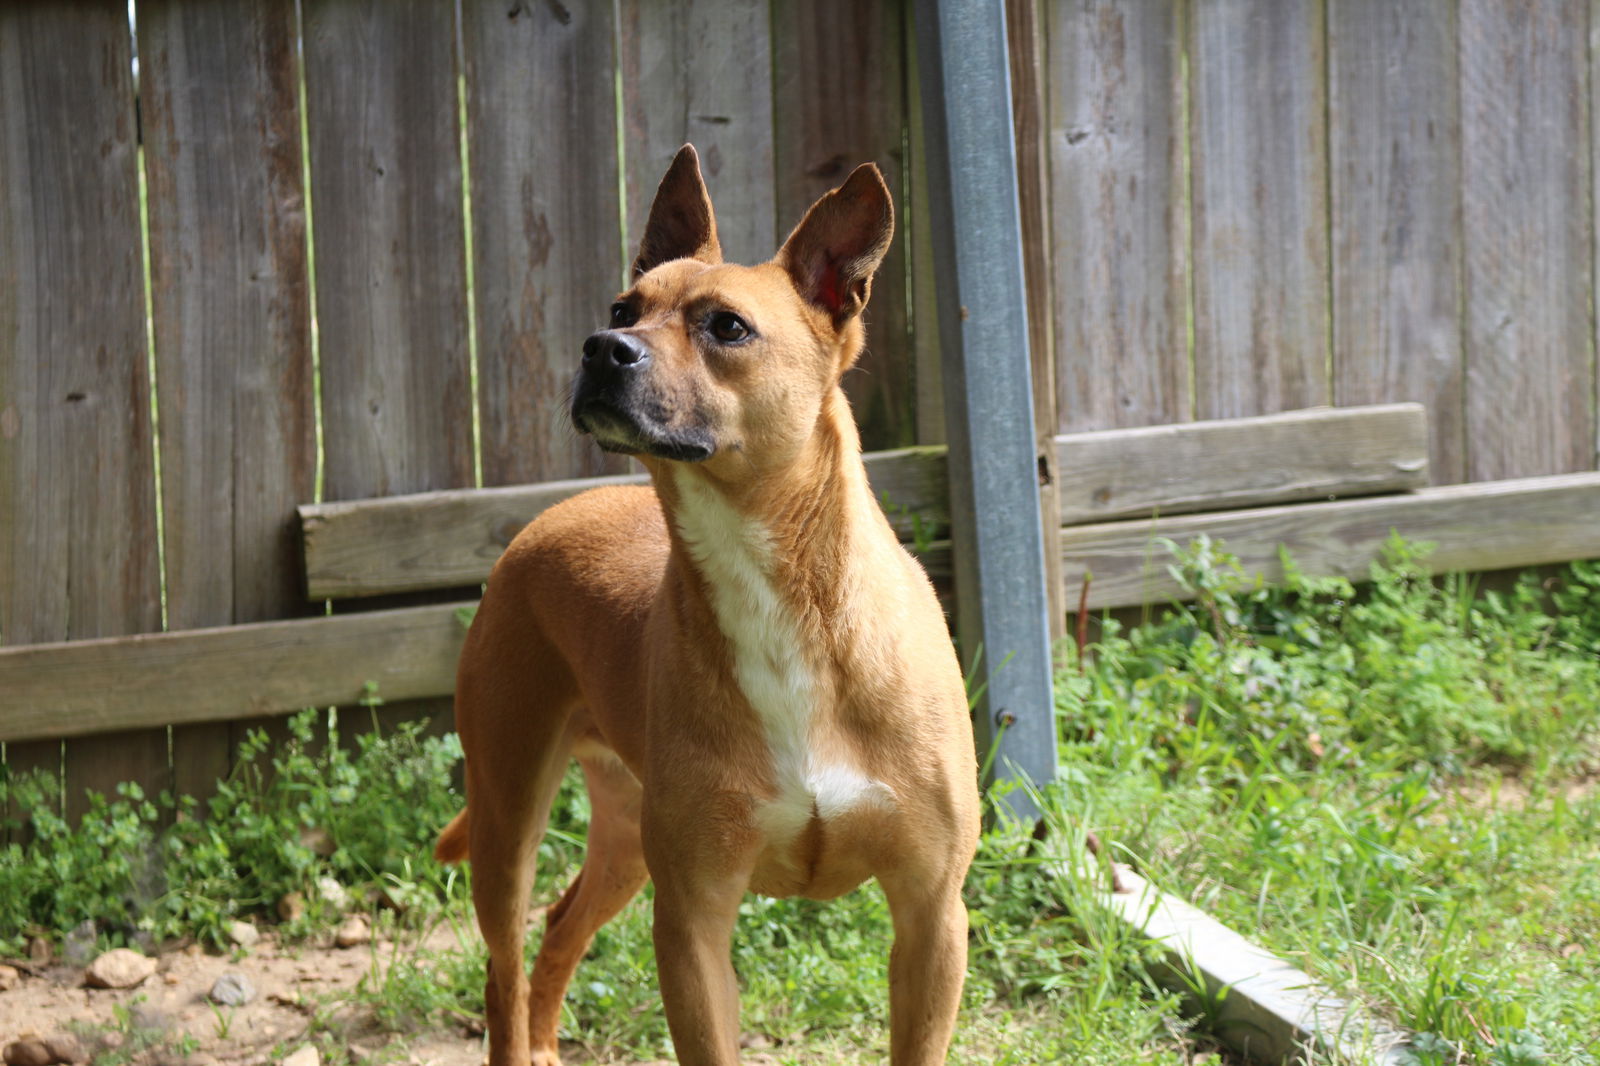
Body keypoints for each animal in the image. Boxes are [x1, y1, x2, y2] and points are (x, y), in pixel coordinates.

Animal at [441, 145, 985, 1056]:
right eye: (623, 307)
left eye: (726, 327)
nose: (602, 347)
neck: (785, 600)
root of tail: (551, 518)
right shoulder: (693, 924)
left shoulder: (931, 915)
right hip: (507, 819)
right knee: (504, 972)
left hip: (622, 842)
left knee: (560, 927)